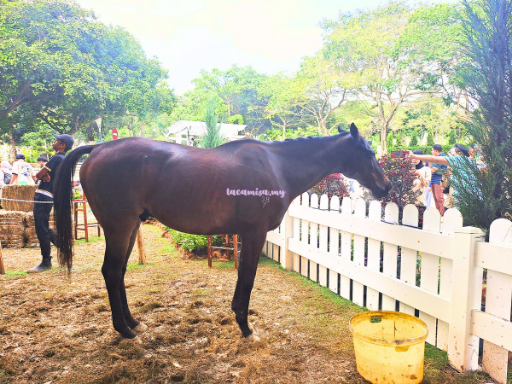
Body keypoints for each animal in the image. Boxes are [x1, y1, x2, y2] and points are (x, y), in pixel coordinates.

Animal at [54, 123, 390, 340]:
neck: (277, 165)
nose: (386, 187)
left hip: (130, 225)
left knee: (120, 272)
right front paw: (245, 327)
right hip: (120, 225)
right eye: (370, 152)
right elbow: (248, 278)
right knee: (111, 271)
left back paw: (133, 322)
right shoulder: (254, 234)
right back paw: (123, 330)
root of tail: (99, 147)